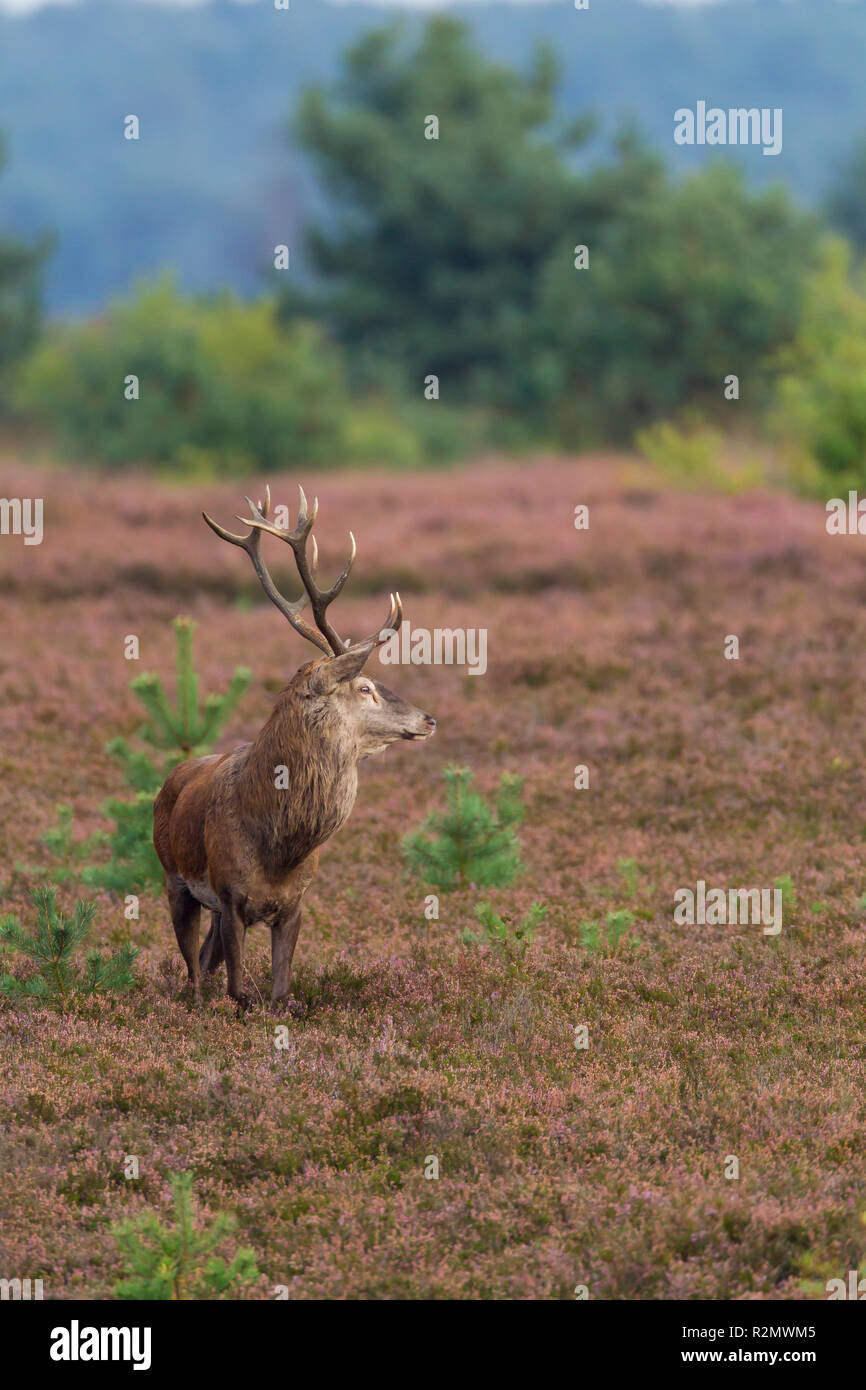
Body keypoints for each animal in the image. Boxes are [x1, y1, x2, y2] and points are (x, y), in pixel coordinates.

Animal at [153, 486, 436, 1011]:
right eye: (365, 687)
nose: (428, 719)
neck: (278, 845)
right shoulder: (229, 897)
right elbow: (239, 992)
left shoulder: (296, 905)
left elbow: (280, 993)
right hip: (174, 878)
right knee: (193, 972)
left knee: (202, 960)